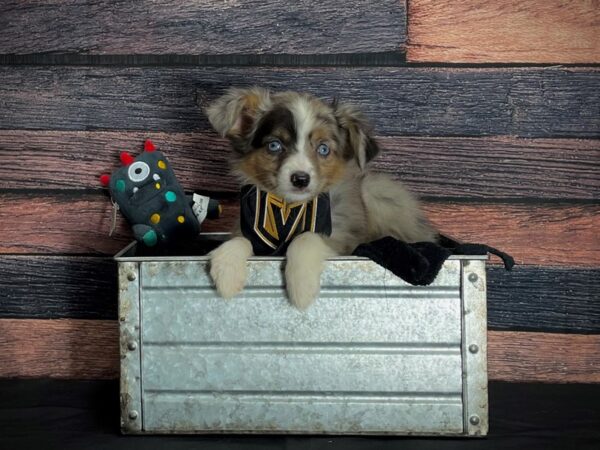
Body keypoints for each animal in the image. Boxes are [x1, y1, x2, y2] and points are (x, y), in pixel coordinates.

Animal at [206, 87, 436, 310]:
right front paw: (227, 270)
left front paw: (302, 285)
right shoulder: (248, 226)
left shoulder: (342, 238)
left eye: (323, 149)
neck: (287, 207)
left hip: (377, 191)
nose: (300, 179)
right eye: (274, 145)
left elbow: (306, 237)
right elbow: (239, 239)